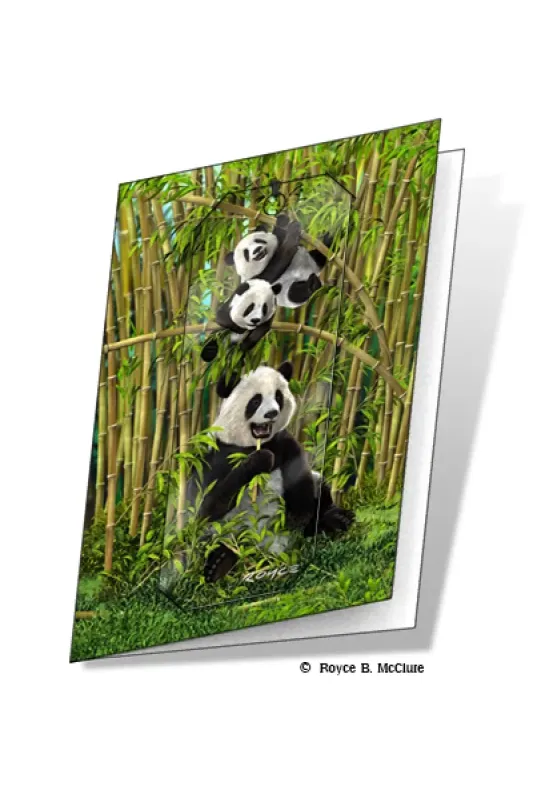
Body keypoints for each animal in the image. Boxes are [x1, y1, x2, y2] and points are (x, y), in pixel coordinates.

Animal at [191, 361, 353, 582]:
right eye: (256, 400)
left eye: (278, 396)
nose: (272, 413)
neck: (255, 443)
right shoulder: (220, 454)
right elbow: (208, 506)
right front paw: (262, 459)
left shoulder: (285, 442)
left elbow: (300, 479)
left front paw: (298, 515)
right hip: (228, 532)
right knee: (219, 540)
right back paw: (219, 563)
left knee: (319, 491)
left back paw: (336, 519)